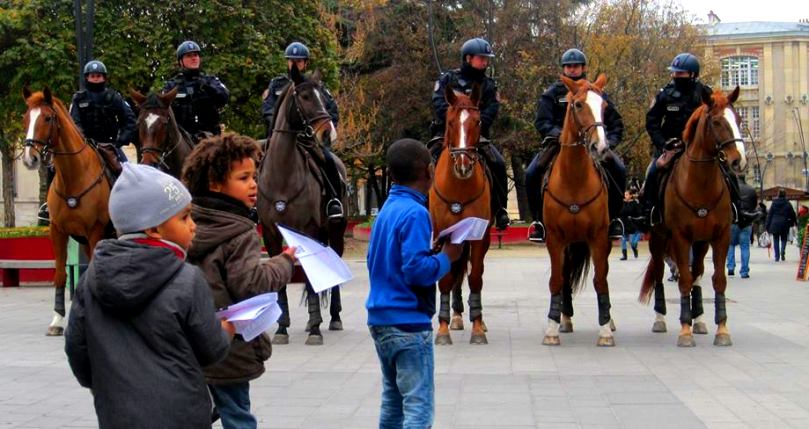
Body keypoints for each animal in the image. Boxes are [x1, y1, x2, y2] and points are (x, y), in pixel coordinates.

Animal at [21, 86, 112, 334]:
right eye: (25, 118)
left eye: (47, 118)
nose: (30, 159)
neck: (74, 176)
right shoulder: (58, 231)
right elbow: (61, 274)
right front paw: (57, 319)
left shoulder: (95, 230)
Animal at [256, 64, 348, 344]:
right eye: (305, 97)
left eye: (324, 98)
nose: (327, 133)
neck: (282, 174)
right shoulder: (271, 233)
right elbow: (280, 279)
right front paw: (282, 328)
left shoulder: (309, 230)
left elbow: (310, 276)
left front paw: (316, 329)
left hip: (336, 231)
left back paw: (334, 317)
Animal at [540, 74, 616, 348]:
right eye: (578, 105)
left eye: (605, 107)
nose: (601, 147)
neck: (574, 178)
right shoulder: (554, 238)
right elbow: (556, 280)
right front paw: (551, 328)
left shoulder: (599, 237)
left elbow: (601, 279)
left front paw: (604, 330)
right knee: (563, 277)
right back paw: (565, 318)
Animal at [640, 85, 748, 346]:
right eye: (717, 122)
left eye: (739, 119)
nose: (738, 161)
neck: (701, 183)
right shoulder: (681, 237)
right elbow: (684, 280)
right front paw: (684, 330)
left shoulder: (721, 237)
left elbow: (717, 280)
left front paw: (721, 329)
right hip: (659, 238)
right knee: (660, 274)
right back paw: (661, 319)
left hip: (701, 242)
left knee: (697, 273)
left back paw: (699, 319)